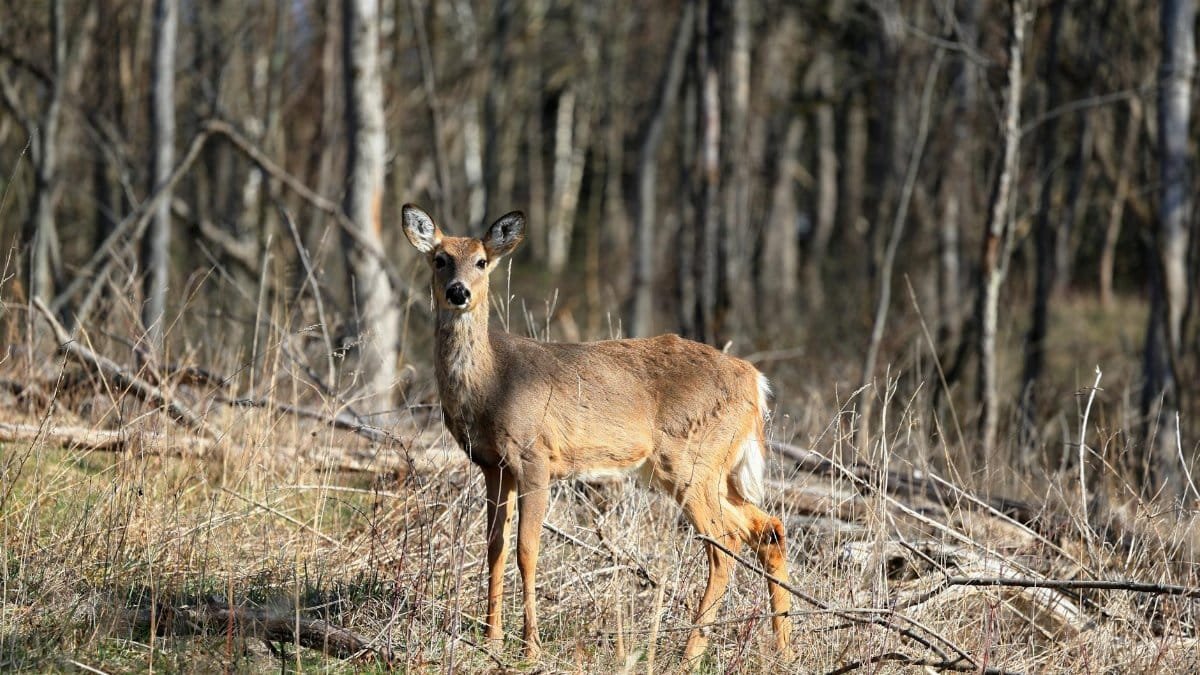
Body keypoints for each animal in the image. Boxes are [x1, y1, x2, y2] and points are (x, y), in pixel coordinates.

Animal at [401, 203, 792, 664]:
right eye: (440, 259)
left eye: (481, 262)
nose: (458, 292)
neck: (492, 382)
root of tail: (756, 382)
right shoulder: (492, 465)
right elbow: (495, 547)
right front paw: (490, 640)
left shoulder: (535, 457)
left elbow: (527, 550)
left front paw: (530, 647)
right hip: (715, 468)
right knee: (768, 528)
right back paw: (784, 648)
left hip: (690, 461)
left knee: (725, 542)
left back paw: (690, 653)